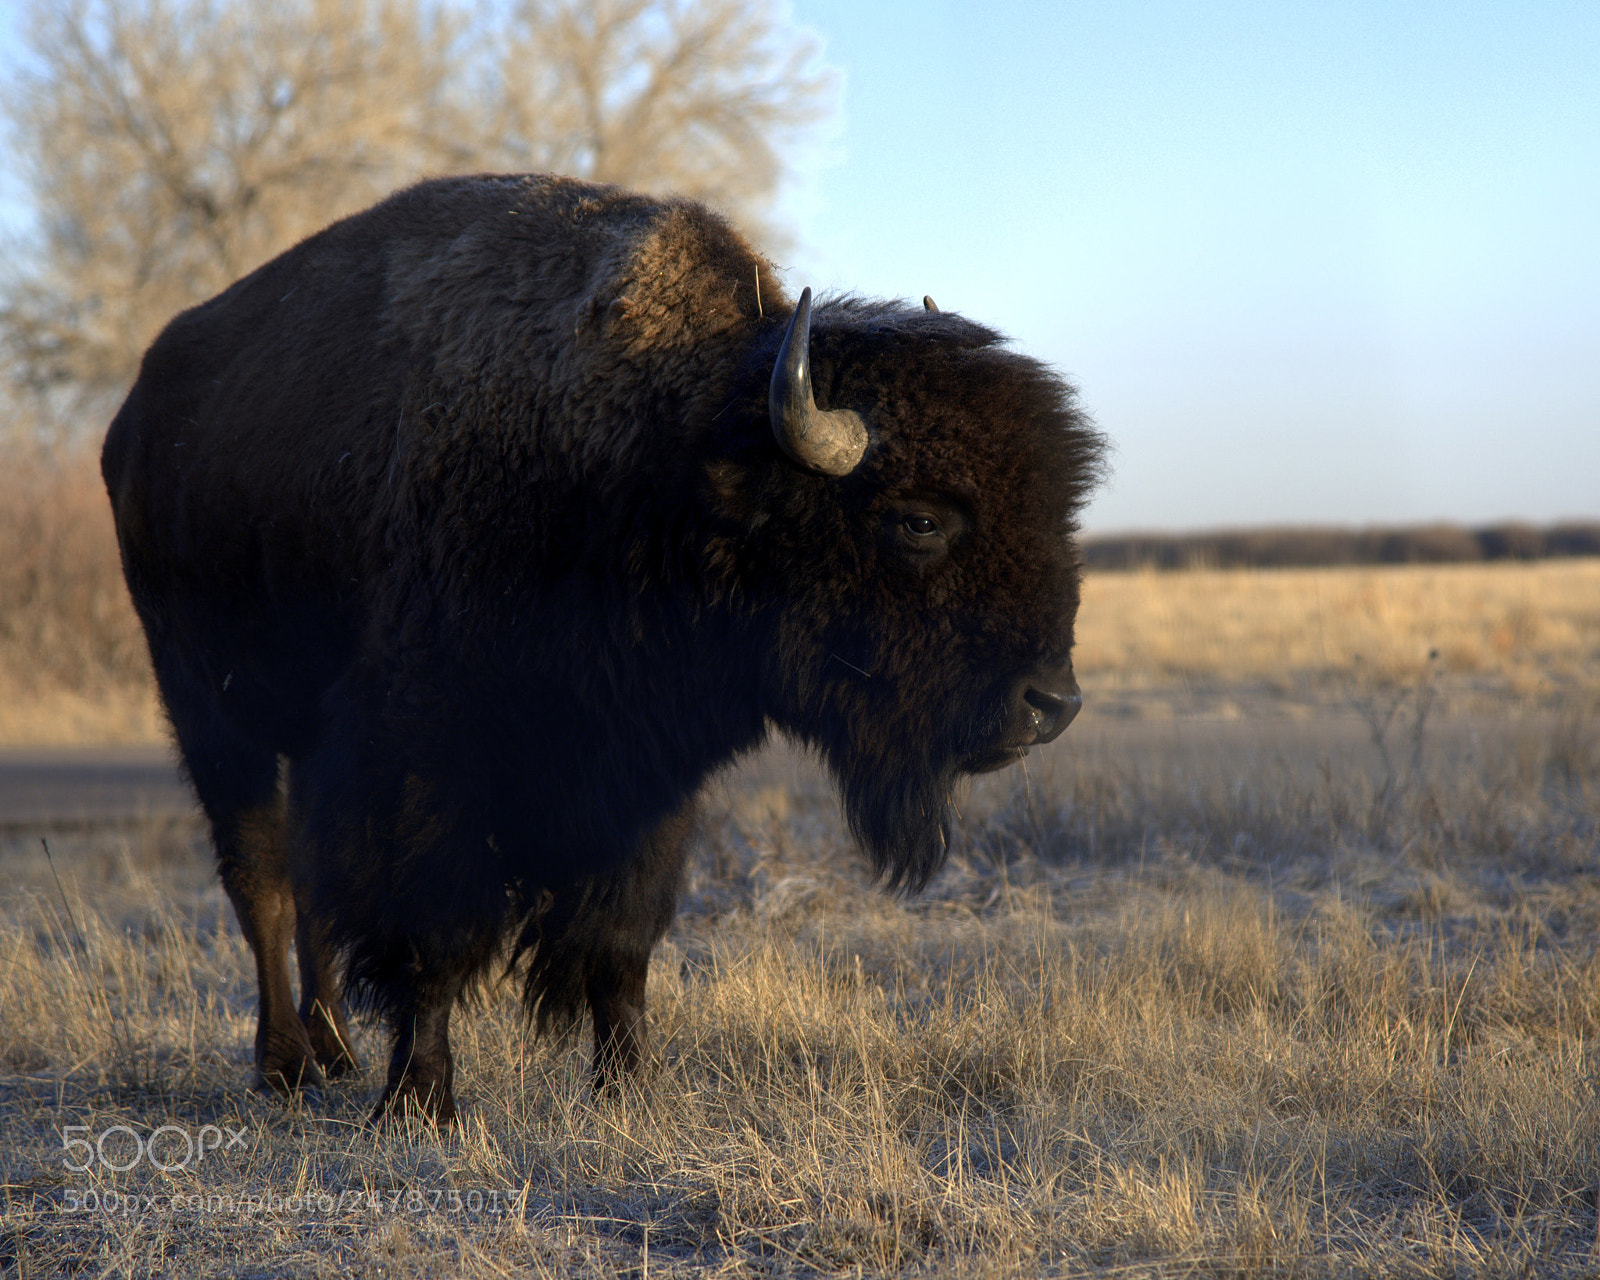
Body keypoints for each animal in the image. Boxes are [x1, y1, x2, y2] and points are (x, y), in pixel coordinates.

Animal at [102, 174, 1105, 1122]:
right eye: (920, 519)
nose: (1052, 704)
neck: (661, 457)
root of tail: (136, 419)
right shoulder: (423, 762)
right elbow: (431, 936)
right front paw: (421, 1104)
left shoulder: (645, 782)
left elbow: (620, 944)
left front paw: (629, 1089)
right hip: (207, 708)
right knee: (262, 879)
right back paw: (285, 1066)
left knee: (307, 891)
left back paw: (337, 1050)